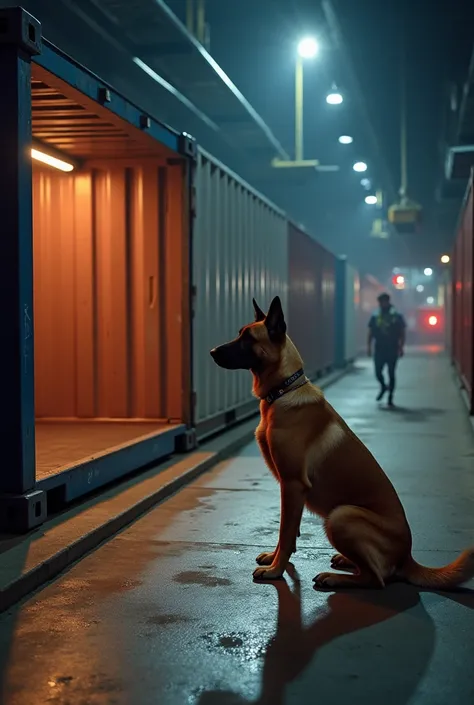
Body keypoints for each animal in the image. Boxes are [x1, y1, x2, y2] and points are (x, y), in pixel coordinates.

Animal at [211, 292, 474, 588]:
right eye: (239, 334)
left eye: (248, 339)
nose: (212, 352)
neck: (283, 390)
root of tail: (407, 556)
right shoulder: (290, 489)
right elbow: (287, 532)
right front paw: (275, 559)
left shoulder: (292, 485)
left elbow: (285, 532)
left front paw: (276, 570)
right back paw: (343, 561)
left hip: (341, 516)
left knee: (377, 578)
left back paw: (334, 578)